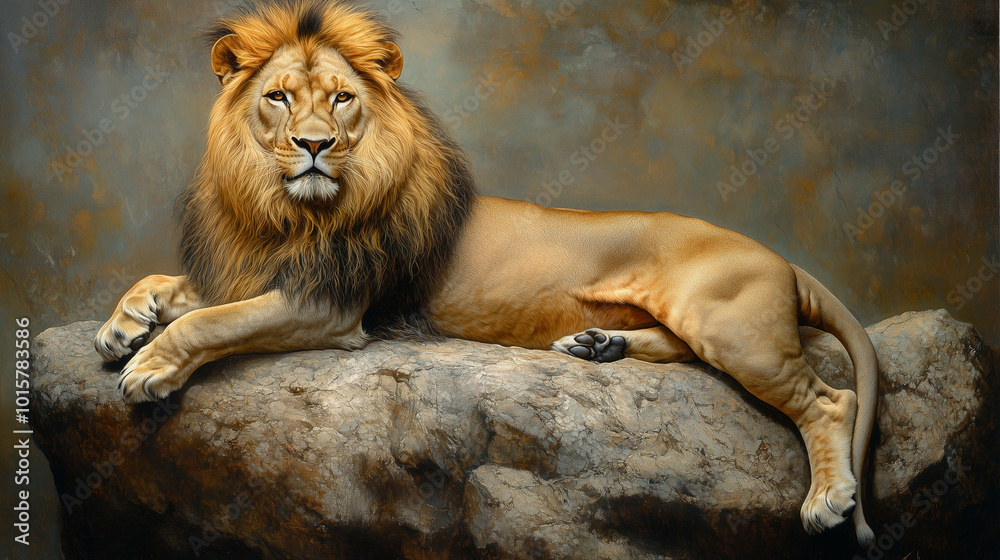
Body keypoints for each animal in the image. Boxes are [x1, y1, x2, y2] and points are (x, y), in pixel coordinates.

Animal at [94, 0, 877, 547]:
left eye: (342, 99)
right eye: (279, 97)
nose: (314, 145)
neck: (287, 213)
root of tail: (785, 260)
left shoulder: (328, 305)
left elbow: (210, 320)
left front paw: (150, 367)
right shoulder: (262, 268)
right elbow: (172, 287)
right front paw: (121, 328)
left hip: (731, 324)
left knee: (830, 400)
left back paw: (827, 502)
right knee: (686, 352)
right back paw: (599, 346)